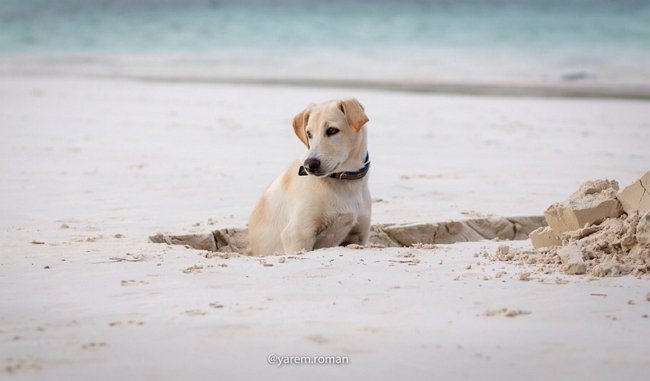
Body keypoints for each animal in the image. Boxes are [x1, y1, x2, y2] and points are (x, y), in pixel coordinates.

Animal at [247, 97, 370, 255]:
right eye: (309, 134)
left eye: (332, 130)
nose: (310, 165)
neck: (344, 181)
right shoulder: (297, 235)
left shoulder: (358, 235)